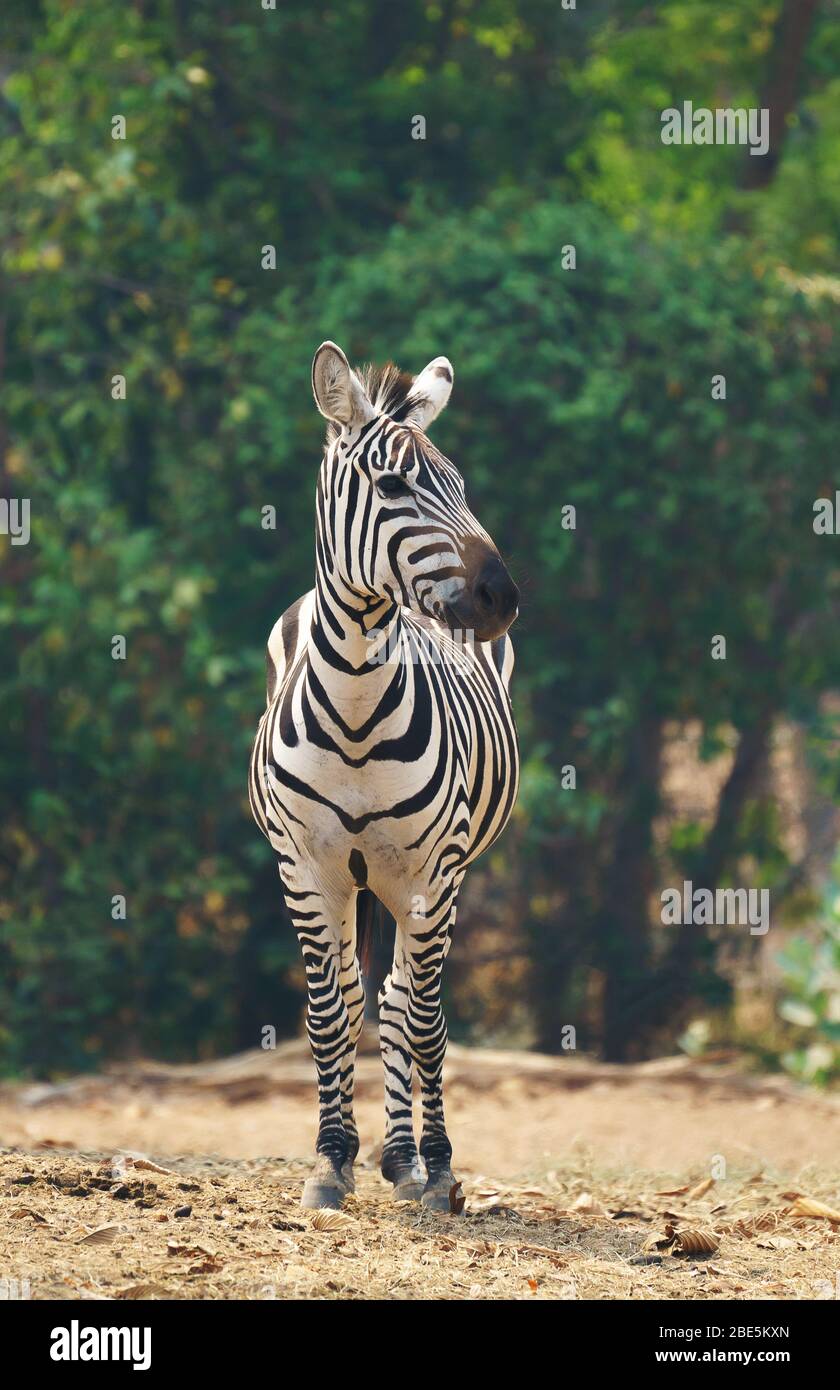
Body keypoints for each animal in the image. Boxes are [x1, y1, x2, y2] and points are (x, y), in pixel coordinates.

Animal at [248, 339, 517, 1206]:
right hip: (355, 881)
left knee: (404, 1003)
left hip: (429, 879)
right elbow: (328, 1015)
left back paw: (409, 1157)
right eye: (393, 485)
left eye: (461, 485)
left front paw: (435, 1167)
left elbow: (422, 1022)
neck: (358, 711)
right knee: (361, 994)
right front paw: (331, 1160)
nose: (503, 597)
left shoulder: (432, 872)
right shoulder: (305, 868)